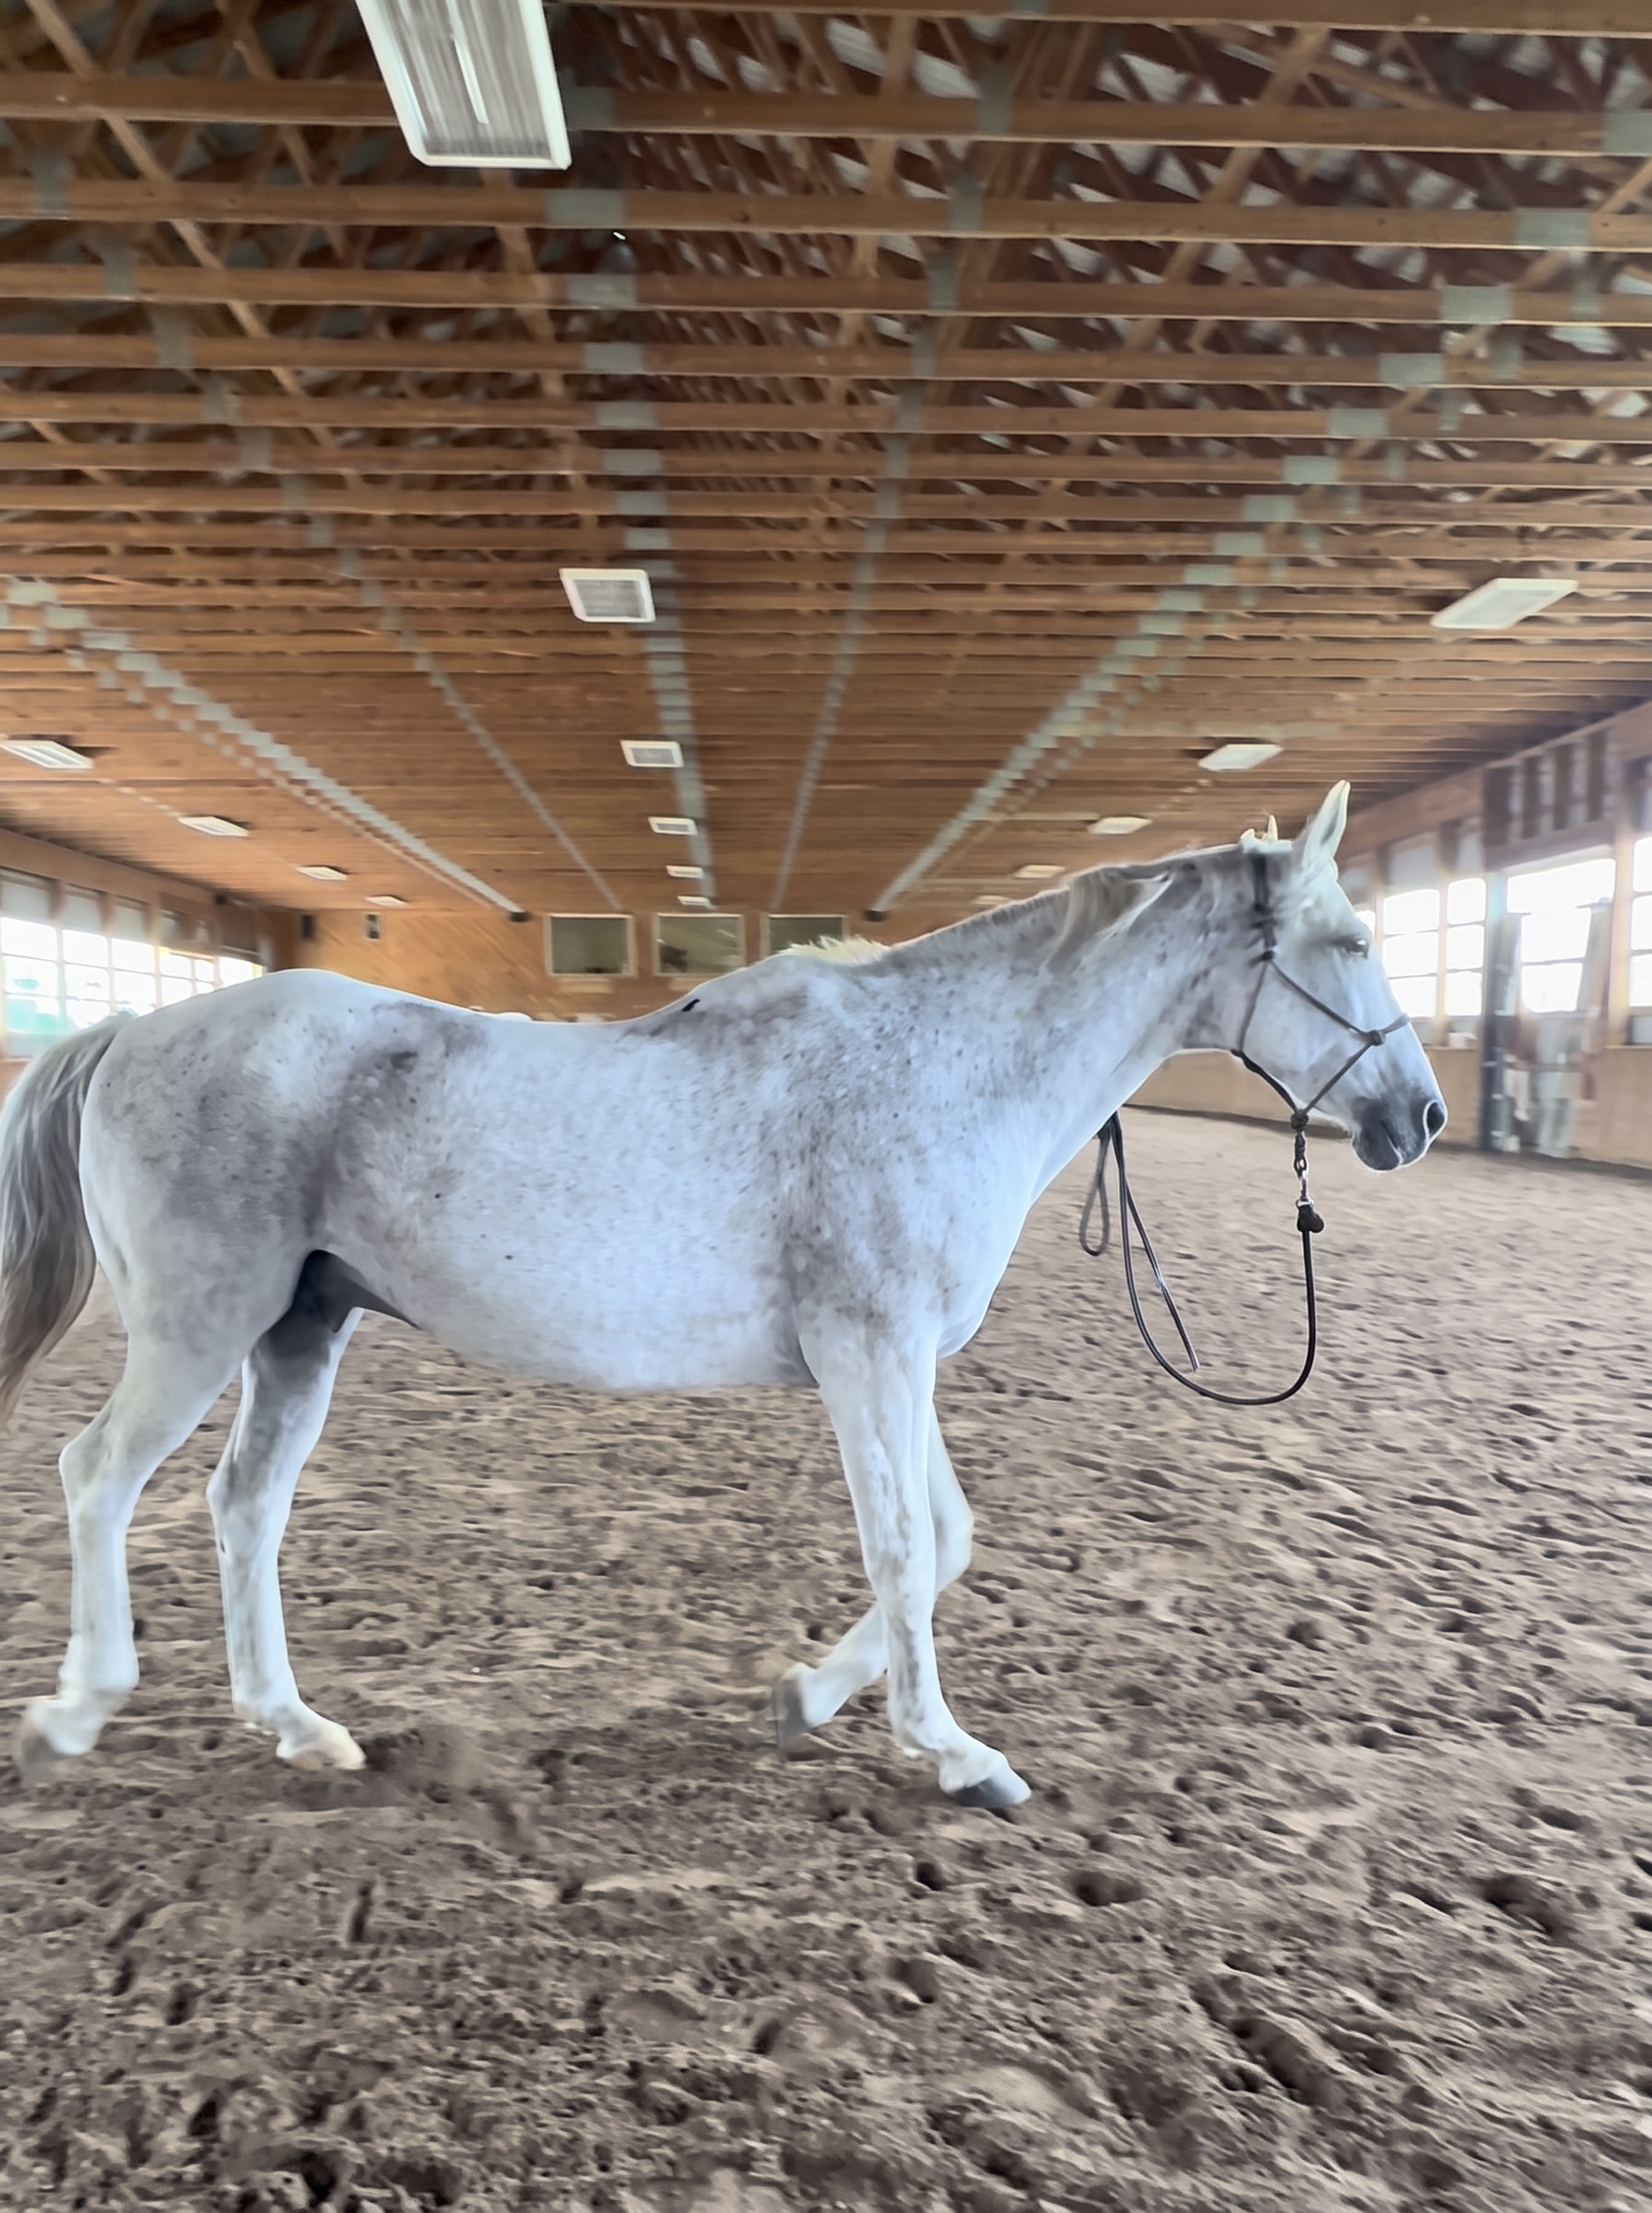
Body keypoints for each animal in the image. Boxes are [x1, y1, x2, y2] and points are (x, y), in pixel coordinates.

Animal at [0, 784, 1443, 1809]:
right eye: (1352, 937)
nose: (1420, 1116)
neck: (938, 1069)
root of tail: (131, 1032)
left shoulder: (901, 1364)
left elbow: (946, 1540)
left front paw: (807, 1698)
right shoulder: (870, 1355)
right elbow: (903, 1546)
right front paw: (951, 1752)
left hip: (300, 1329)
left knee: (242, 1508)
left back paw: (297, 1729)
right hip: (198, 1329)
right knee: (97, 1477)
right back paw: (77, 1711)